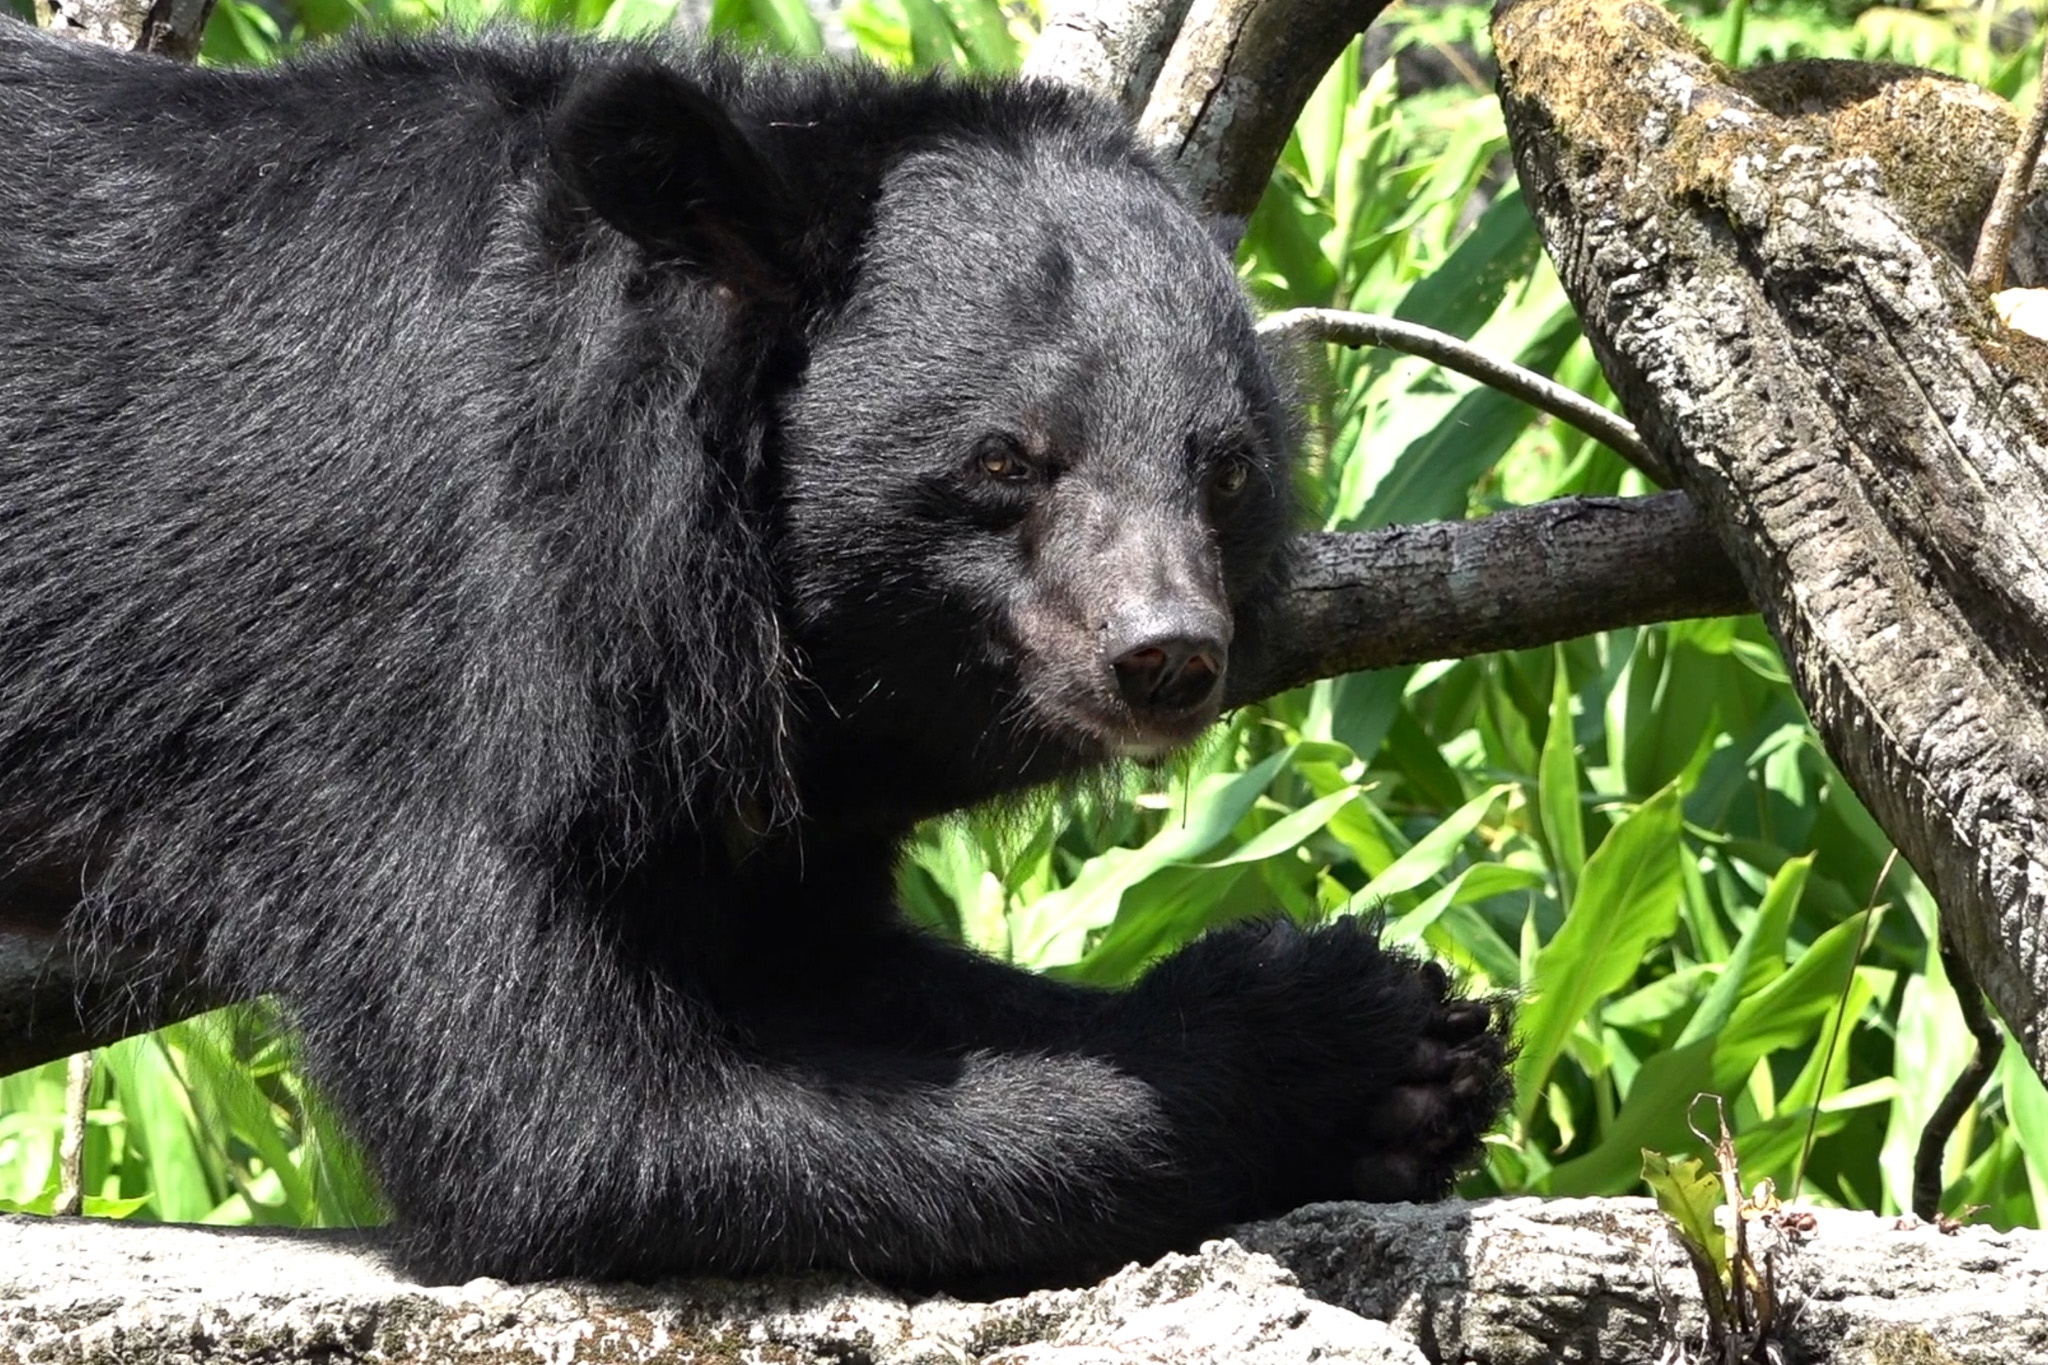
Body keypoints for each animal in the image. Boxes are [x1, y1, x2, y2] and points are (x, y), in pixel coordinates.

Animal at [0, 19, 1510, 1290]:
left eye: (1226, 469)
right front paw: (1322, 1032)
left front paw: (1418, 1061)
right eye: (1006, 460)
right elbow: (569, 1122)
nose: (1166, 658)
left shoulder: (764, 756)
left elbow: (812, 959)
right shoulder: (413, 645)